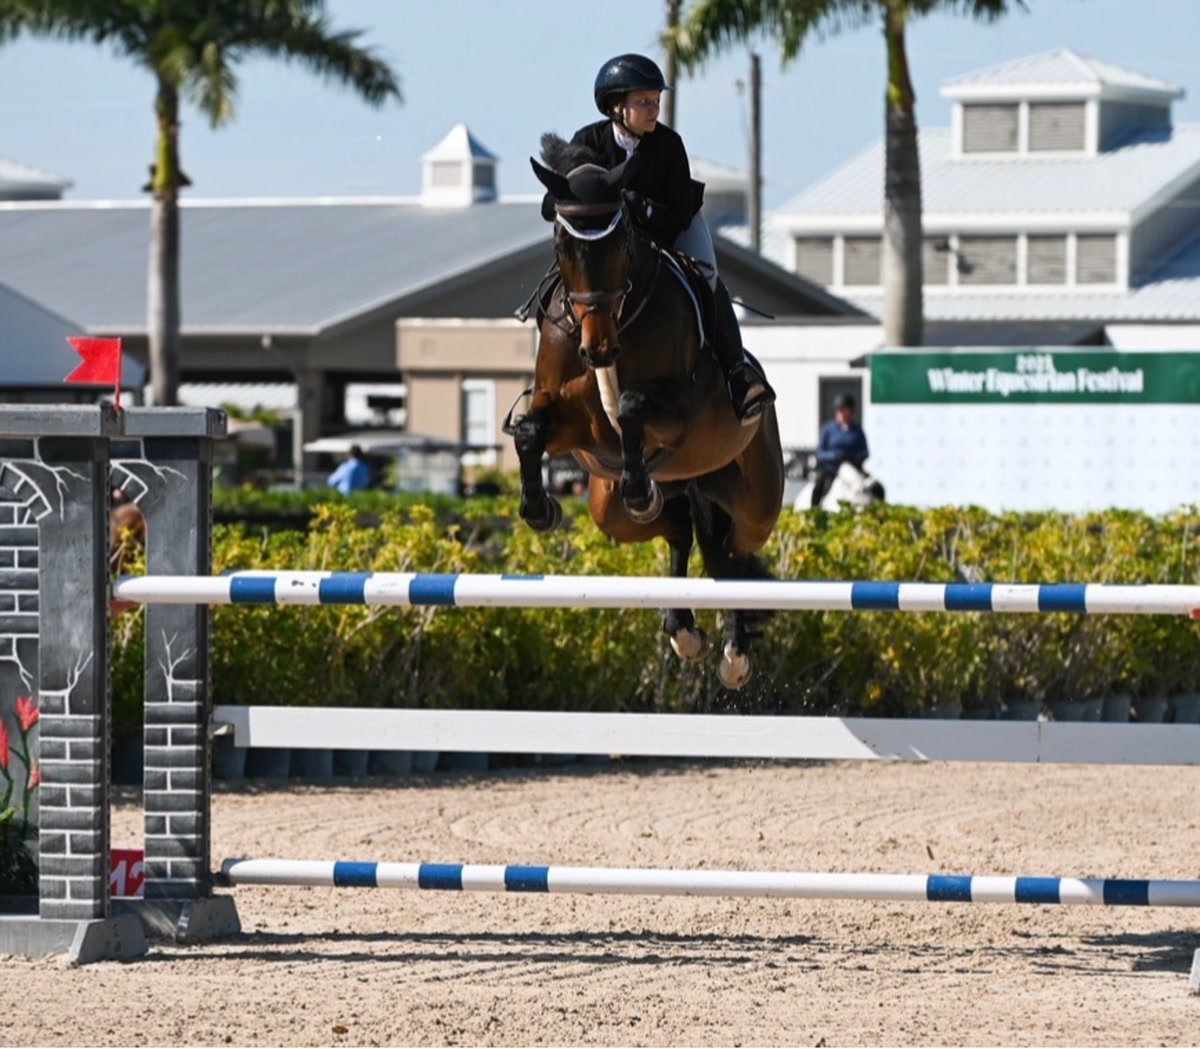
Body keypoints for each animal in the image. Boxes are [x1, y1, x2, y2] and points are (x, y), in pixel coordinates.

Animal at [512, 134, 785, 689]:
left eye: (620, 245)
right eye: (562, 245)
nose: (598, 351)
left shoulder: (676, 414)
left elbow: (632, 406)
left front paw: (638, 483)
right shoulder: (573, 423)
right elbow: (530, 431)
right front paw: (540, 509)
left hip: (757, 501)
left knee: (734, 552)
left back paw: (734, 654)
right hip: (608, 508)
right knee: (681, 529)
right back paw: (684, 628)